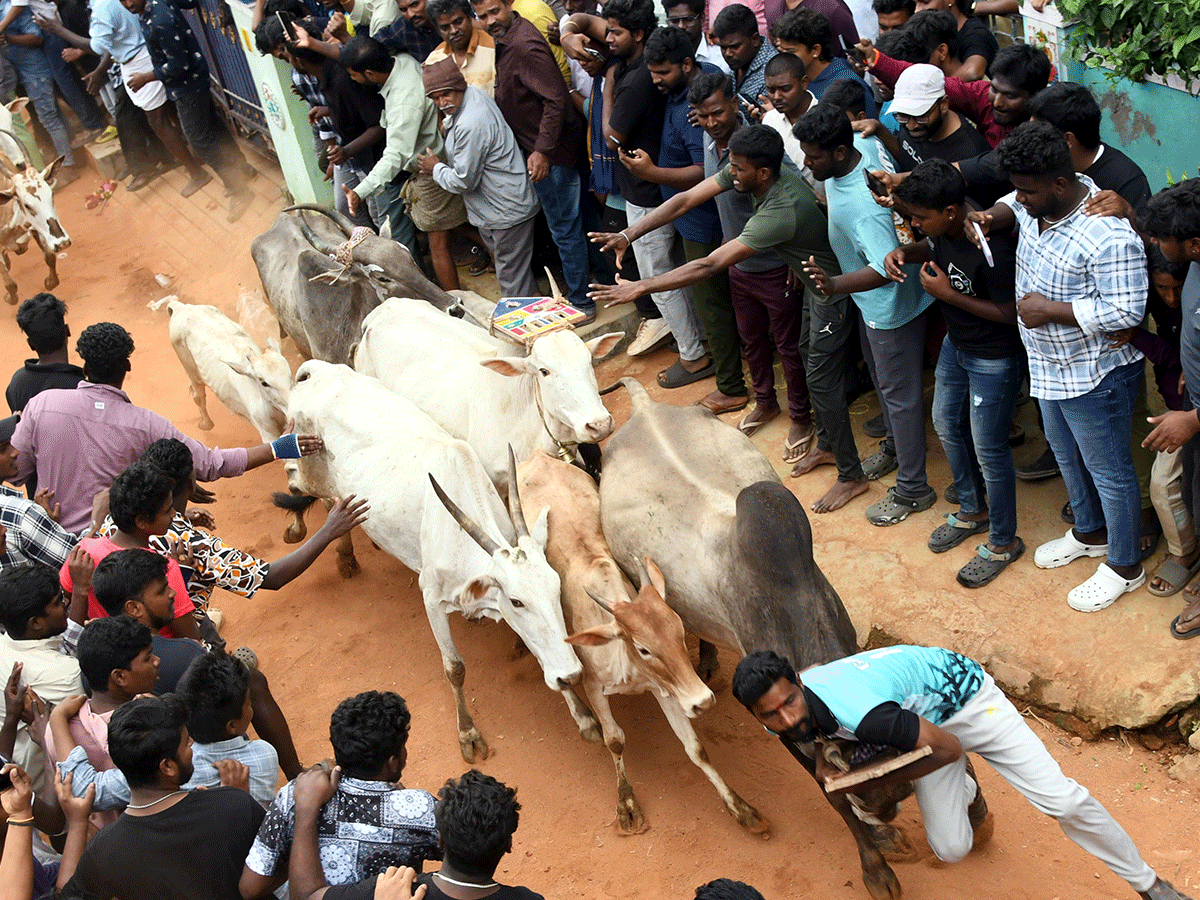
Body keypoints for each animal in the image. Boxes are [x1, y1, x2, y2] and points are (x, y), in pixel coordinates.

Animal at [163, 301, 294, 441]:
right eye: (264, 383)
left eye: (290, 374)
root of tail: (181, 307)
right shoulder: (268, 434)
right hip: (190, 369)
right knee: (198, 396)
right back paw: (206, 424)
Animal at [518, 458, 768, 840]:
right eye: (644, 648)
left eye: (680, 631)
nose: (703, 701)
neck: (627, 666)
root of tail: (539, 457)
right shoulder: (594, 686)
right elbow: (615, 740)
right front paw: (627, 803)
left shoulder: (666, 689)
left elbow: (695, 749)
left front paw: (741, 808)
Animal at [604, 381, 912, 900]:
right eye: (865, 798)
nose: (888, 814)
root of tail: (643, 407)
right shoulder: (782, 724)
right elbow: (831, 798)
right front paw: (877, 866)